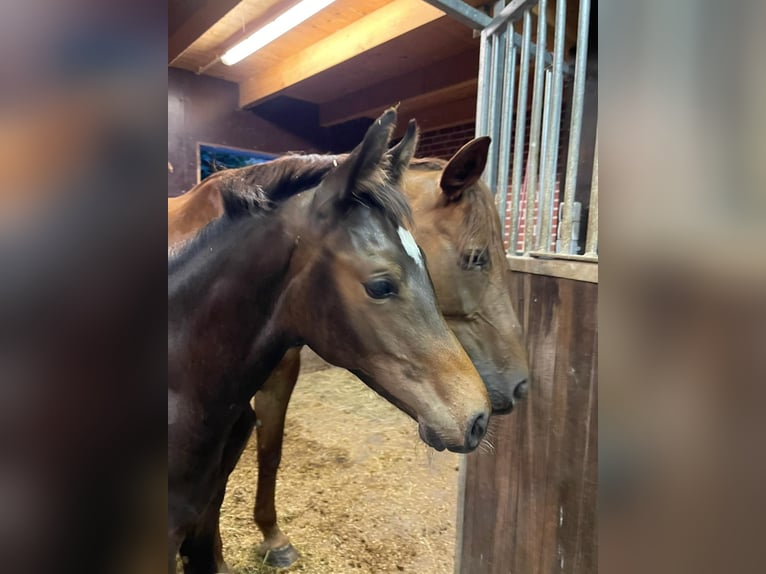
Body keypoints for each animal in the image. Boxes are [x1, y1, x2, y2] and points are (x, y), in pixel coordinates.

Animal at [167, 135, 528, 572]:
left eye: (427, 263)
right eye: (476, 257)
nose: (519, 385)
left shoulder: (274, 372)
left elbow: (267, 452)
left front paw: (269, 538)